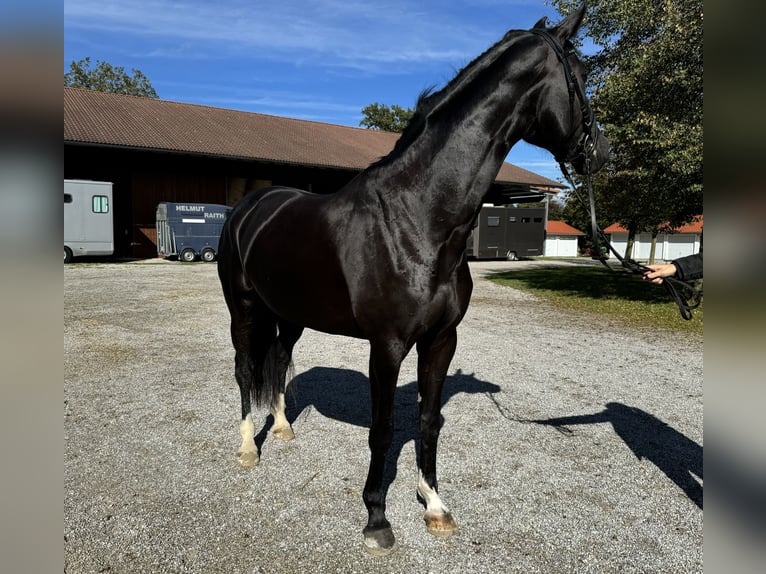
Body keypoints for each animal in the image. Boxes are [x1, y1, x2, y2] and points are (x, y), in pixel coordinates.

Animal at [219, 2, 608, 556]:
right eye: (581, 76)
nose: (602, 152)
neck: (417, 217)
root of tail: (249, 207)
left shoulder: (441, 339)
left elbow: (429, 420)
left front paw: (435, 505)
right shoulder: (387, 345)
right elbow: (382, 430)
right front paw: (376, 518)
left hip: (289, 314)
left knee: (277, 359)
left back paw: (283, 431)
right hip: (244, 310)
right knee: (245, 369)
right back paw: (248, 448)